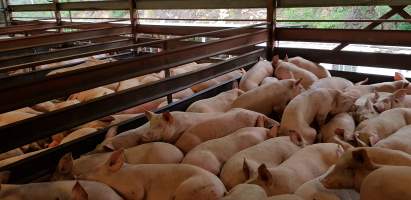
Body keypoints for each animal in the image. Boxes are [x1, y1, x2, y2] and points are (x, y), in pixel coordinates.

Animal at [77, 150, 225, 200]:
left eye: (95, 169)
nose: (77, 176)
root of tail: (223, 190)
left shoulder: (134, 186)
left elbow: (138, 194)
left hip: (189, 190)